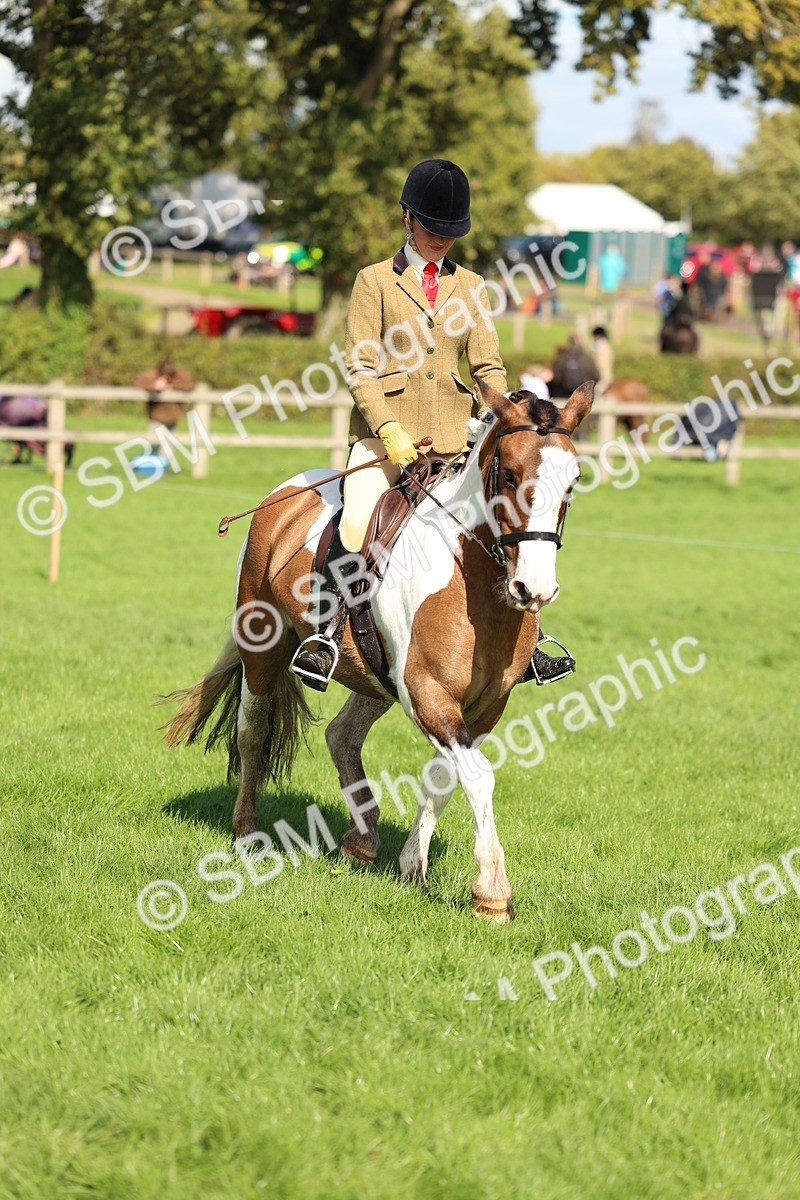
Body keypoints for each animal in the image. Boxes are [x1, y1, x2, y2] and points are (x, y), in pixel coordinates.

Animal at [164, 379, 593, 922]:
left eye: (574, 481)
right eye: (511, 473)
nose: (533, 589)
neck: (473, 579)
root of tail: (285, 495)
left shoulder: (483, 705)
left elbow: (443, 778)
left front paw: (413, 868)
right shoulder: (427, 692)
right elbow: (477, 777)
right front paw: (492, 892)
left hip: (373, 676)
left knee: (342, 735)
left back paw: (362, 841)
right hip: (263, 644)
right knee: (253, 729)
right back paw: (247, 834)